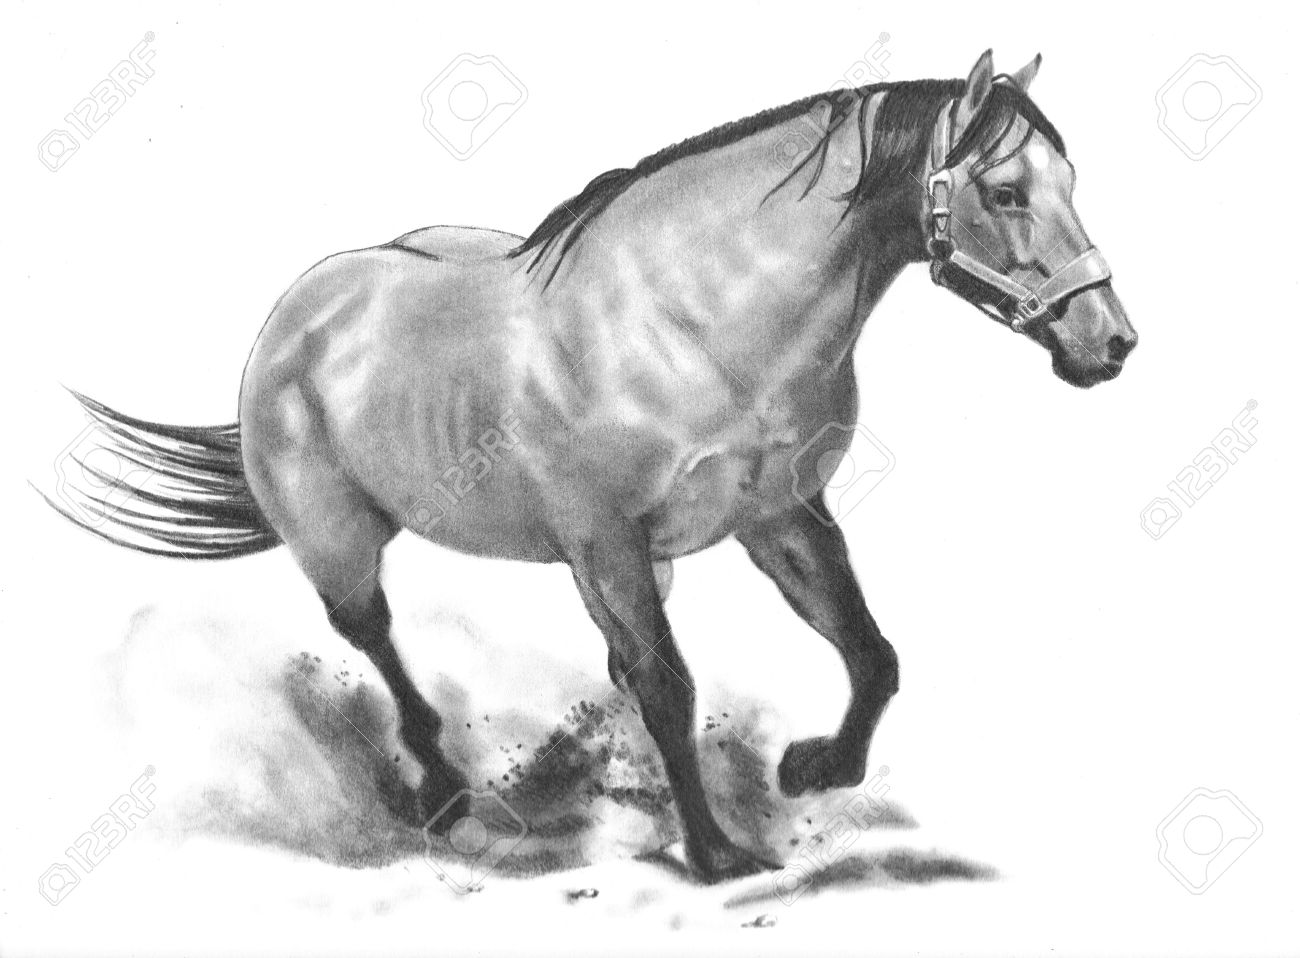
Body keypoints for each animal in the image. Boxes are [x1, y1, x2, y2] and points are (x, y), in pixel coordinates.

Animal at [47, 49, 1137, 883]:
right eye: (1005, 191)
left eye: (1072, 183)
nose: (1110, 341)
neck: (692, 322)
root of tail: (306, 311)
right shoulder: (609, 543)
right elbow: (670, 687)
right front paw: (716, 856)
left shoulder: (780, 517)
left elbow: (869, 652)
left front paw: (812, 770)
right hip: (342, 546)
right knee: (380, 641)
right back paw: (442, 794)